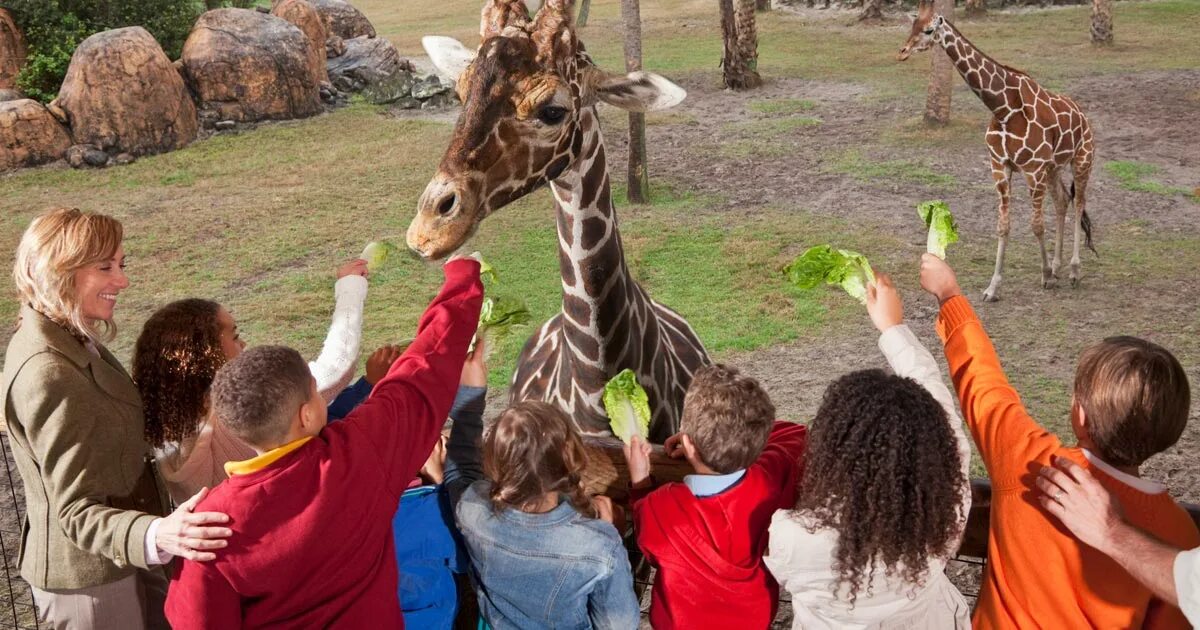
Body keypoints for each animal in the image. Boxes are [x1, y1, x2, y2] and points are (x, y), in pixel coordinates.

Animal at [897, 0, 1094, 301]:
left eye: (929, 30)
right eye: (912, 26)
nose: (903, 52)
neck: (1003, 108)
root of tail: (1083, 116)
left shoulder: (1032, 169)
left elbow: (1036, 224)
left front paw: (1045, 276)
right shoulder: (1000, 167)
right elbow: (1003, 226)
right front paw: (993, 287)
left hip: (1082, 160)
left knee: (1079, 202)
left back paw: (1073, 271)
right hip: (1053, 168)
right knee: (1062, 202)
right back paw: (1058, 265)